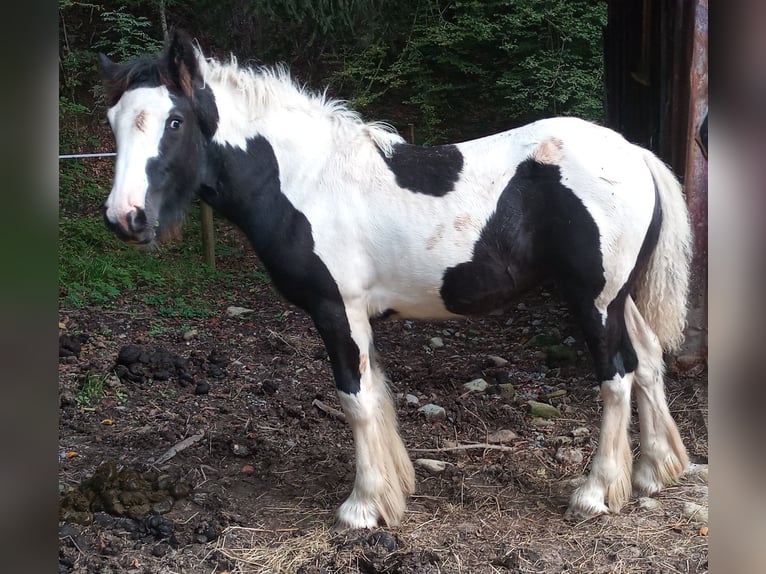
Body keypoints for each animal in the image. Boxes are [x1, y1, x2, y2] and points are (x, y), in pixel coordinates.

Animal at [97, 27, 696, 532]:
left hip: (593, 300)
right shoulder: (357, 316)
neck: (305, 180)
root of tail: (634, 153)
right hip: (620, 297)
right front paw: (394, 489)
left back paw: (597, 492)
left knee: (616, 376)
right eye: (114, 122)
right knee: (647, 360)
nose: (126, 218)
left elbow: (356, 399)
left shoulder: (337, 309)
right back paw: (653, 472)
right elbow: (377, 394)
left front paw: (363, 507)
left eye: (174, 121)